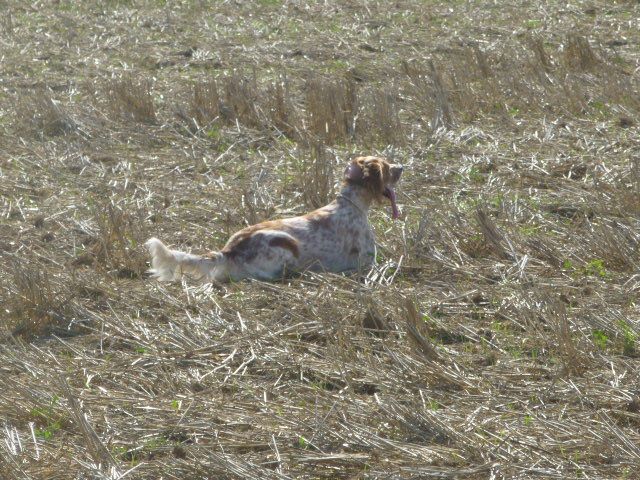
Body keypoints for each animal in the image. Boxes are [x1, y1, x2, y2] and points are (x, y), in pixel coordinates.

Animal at [148, 156, 402, 284]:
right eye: (386, 166)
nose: (402, 166)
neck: (350, 203)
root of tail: (229, 251)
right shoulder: (367, 265)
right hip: (286, 246)